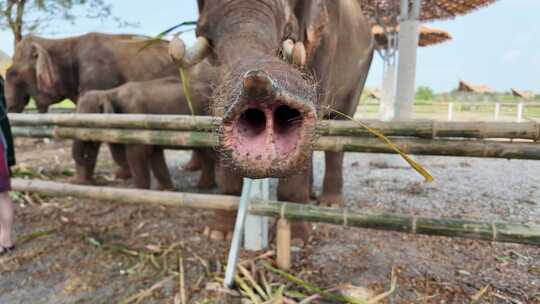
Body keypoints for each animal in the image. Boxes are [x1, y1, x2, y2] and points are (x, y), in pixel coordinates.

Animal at [73, 72, 215, 189]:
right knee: (205, 152)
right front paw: (166, 190)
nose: (104, 177)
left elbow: (137, 151)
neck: (108, 93)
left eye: (86, 123)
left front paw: (139, 190)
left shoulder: (135, 114)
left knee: (208, 152)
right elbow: (154, 153)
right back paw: (204, 186)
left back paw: (204, 187)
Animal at [171, 0, 374, 242]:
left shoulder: (327, 42)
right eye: (205, 35)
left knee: (339, 128)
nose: (258, 82)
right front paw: (218, 233)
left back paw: (330, 205)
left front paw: (295, 239)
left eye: (288, 31)